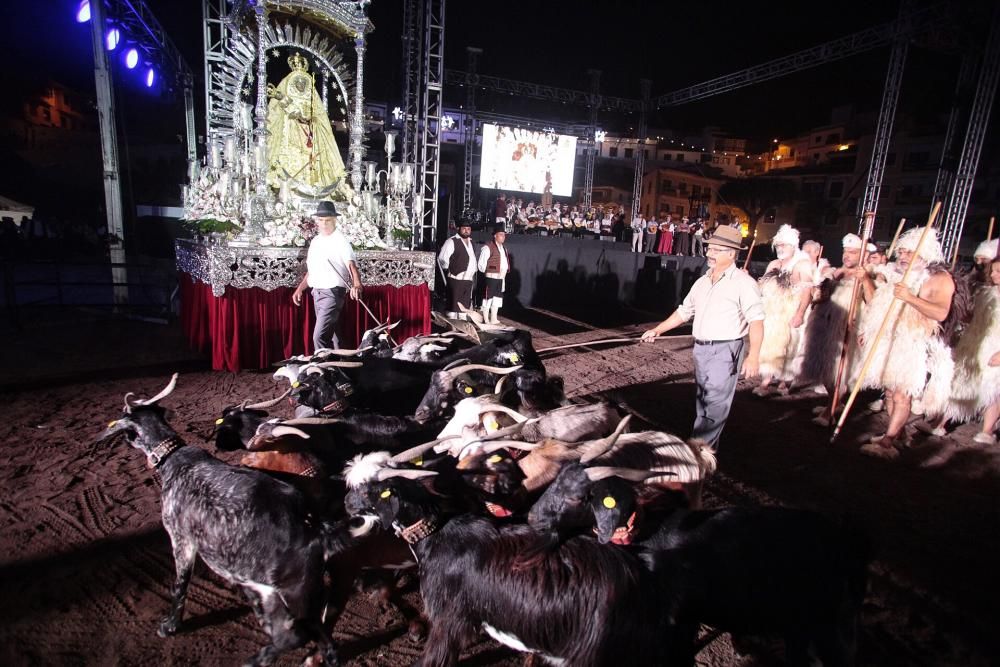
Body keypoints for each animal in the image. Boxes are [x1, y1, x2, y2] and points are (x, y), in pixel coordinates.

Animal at [96, 376, 348, 667]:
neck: (174, 460)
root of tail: (314, 533)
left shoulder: (181, 540)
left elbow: (179, 585)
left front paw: (170, 625)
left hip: (268, 592)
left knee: (292, 634)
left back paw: (255, 659)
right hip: (303, 597)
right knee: (321, 631)